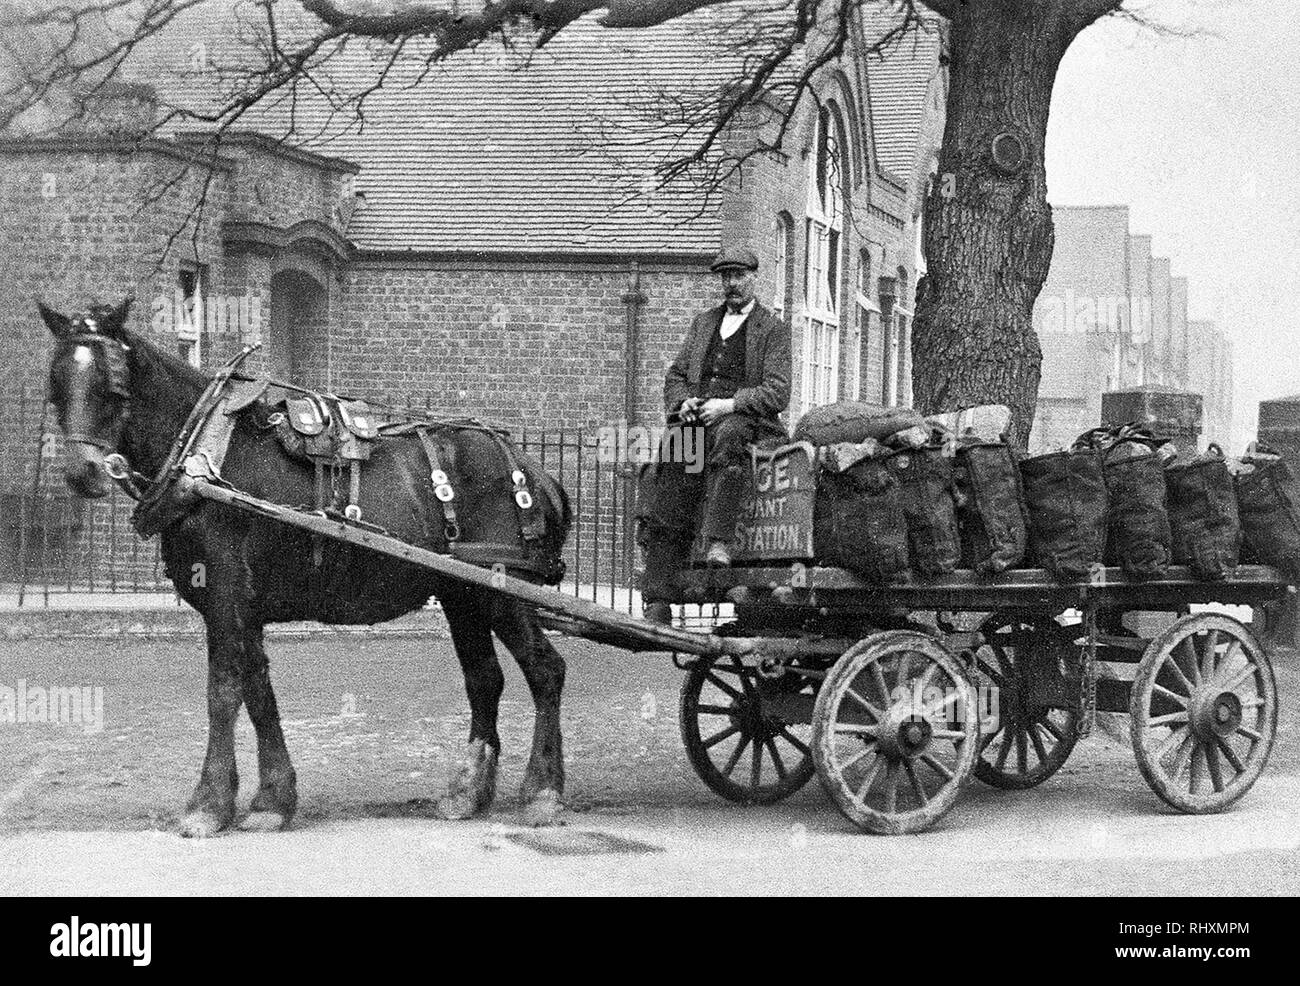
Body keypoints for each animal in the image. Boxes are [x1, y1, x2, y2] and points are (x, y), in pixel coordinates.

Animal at [39, 297, 574, 837]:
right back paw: (467, 792)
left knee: (545, 670)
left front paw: (208, 804)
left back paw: (543, 791)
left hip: (502, 591)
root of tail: (534, 471)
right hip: (462, 593)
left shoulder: (226, 598)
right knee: (484, 679)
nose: (83, 473)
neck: (204, 456)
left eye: (115, 385)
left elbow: (223, 692)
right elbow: (258, 693)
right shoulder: (242, 610)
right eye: (56, 385)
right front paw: (273, 799)